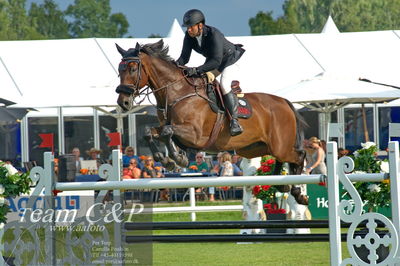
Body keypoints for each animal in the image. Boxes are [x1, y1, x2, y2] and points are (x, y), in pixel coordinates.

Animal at [115, 39, 306, 177]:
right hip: (258, 147)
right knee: (284, 160)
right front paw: (165, 160)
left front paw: (178, 158)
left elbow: (167, 132)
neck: (177, 91)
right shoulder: (169, 128)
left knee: (299, 156)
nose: (123, 102)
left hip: (280, 147)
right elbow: (150, 132)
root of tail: (284, 102)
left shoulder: (196, 135)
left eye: (132, 69)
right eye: (119, 70)